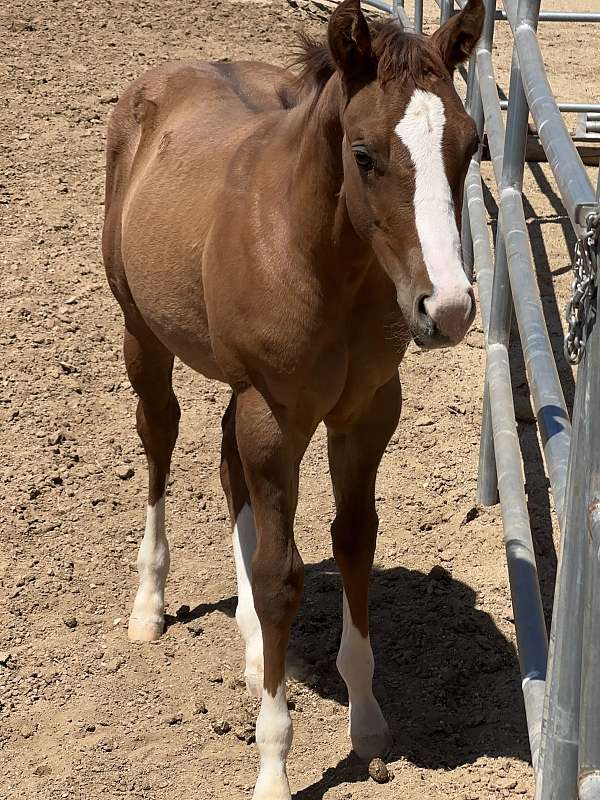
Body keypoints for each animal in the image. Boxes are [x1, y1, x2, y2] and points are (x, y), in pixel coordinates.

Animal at [103, 1, 486, 792]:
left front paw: (367, 722)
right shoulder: (276, 417)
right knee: (160, 439)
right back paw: (149, 606)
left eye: (470, 145)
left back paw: (254, 649)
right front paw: (273, 768)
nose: (450, 308)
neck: (318, 255)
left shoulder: (366, 413)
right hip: (143, 336)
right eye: (364, 154)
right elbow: (282, 576)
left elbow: (354, 543)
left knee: (227, 468)